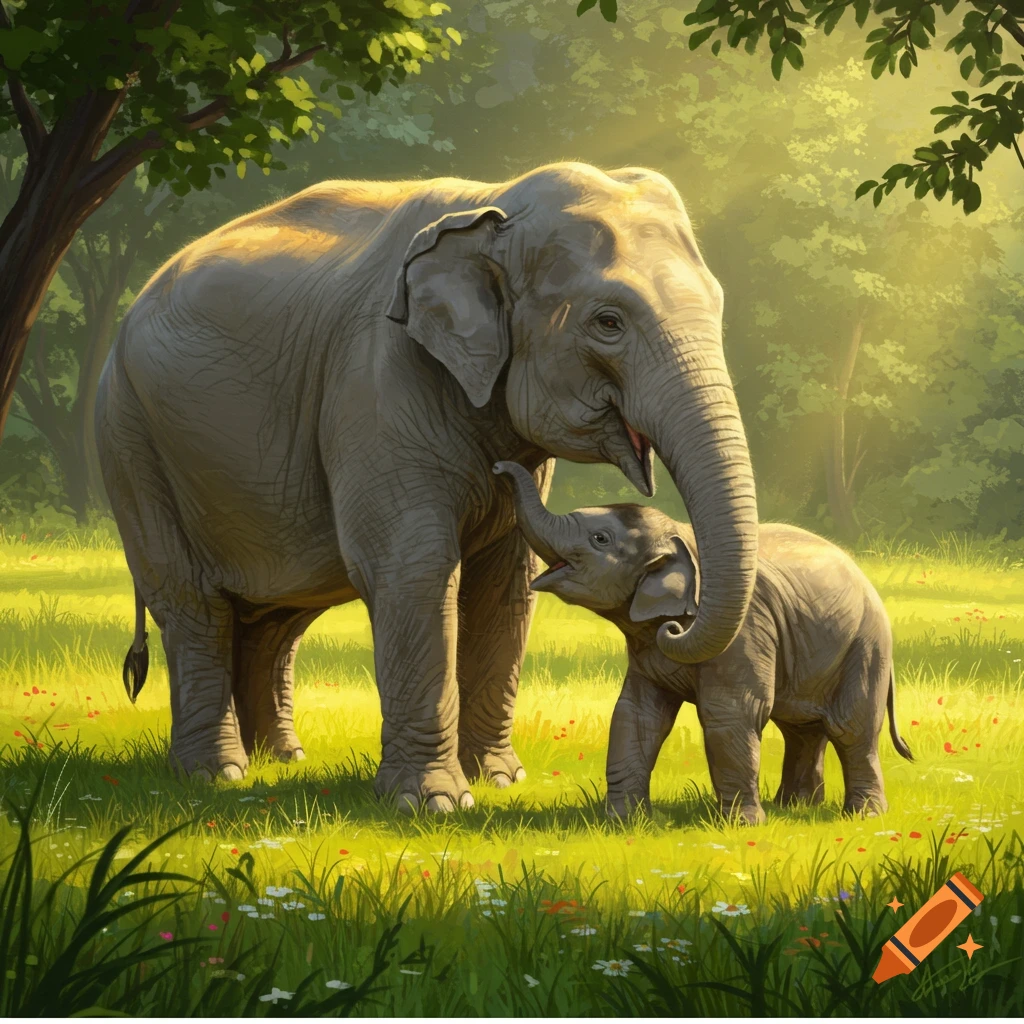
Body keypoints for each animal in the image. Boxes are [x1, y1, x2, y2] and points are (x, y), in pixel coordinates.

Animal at [95, 161, 760, 813]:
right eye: (608, 322)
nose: (673, 627)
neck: (494, 199)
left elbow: (507, 579)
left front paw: (498, 781)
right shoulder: (376, 380)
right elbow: (412, 565)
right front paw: (434, 803)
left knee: (277, 616)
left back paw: (281, 762)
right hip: (130, 439)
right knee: (193, 603)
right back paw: (217, 774)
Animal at [496, 461, 913, 824]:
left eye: (599, 539)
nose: (500, 467)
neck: (685, 539)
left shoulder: (745, 631)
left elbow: (731, 710)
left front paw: (741, 826)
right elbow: (637, 714)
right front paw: (625, 822)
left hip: (865, 648)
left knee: (851, 727)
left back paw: (862, 816)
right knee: (801, 728)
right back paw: (794, 807)